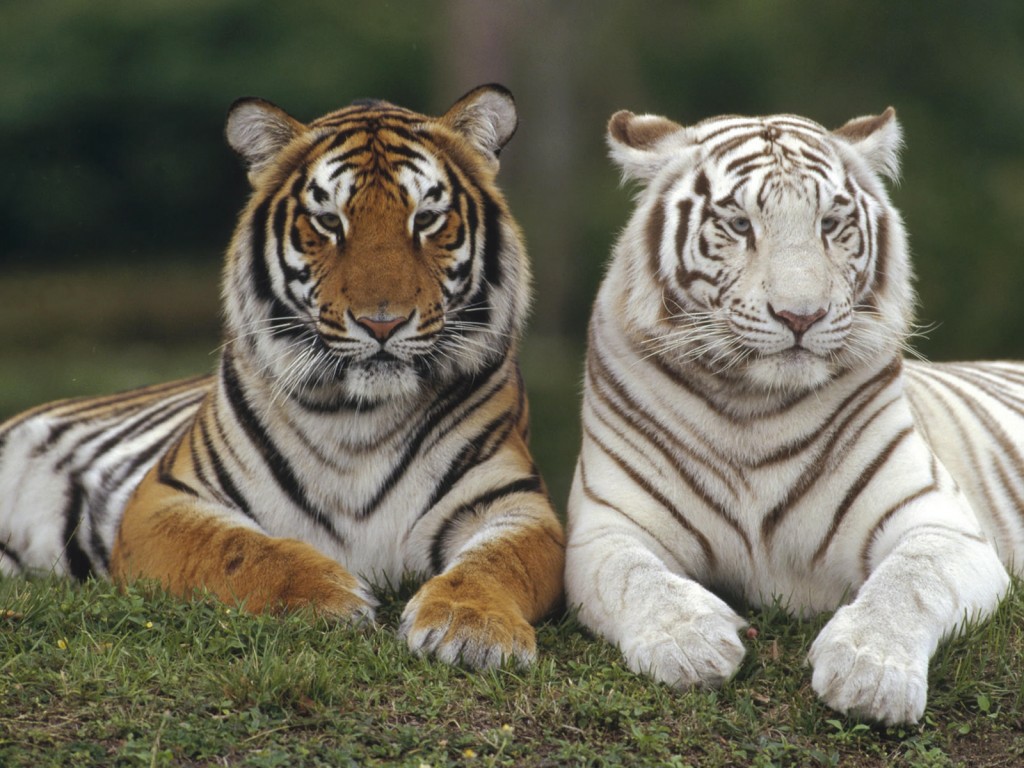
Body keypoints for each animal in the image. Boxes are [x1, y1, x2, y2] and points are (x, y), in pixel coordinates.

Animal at [0, 84, 565, 670]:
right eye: (329, 222)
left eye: (427, 219)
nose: (381, 323)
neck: (360, 416)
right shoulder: (165, 499)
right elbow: (238, 549)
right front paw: (330, 595)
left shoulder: (515, 503)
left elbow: (498, 562)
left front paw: (472, 626)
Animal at [565, 105, 1022, 725]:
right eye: (738, 224)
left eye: (830, 223)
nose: (801, 315)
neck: (753, 407)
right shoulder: (606, 527)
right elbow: (634, 577)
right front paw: (690, 643)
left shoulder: (941, 523)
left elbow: (910, 580)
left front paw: (869, 672)